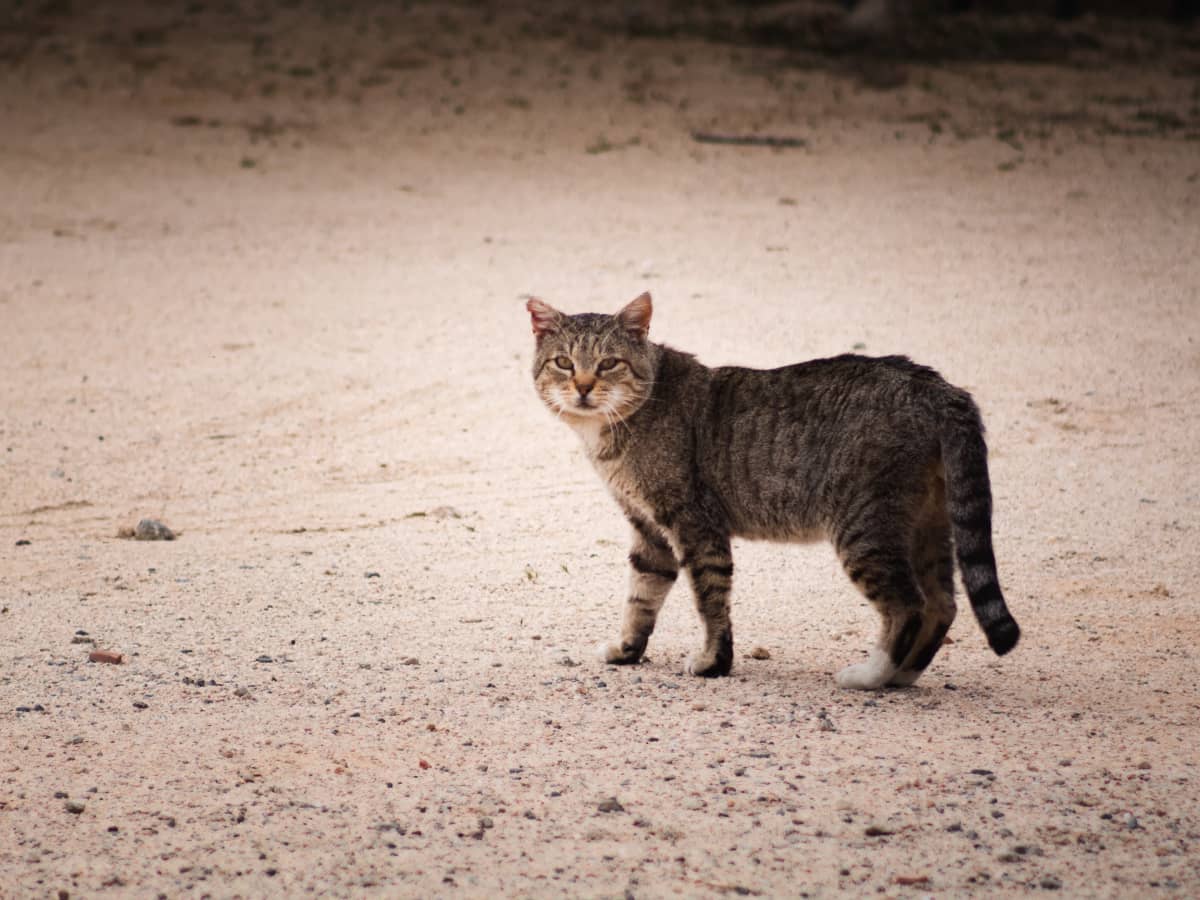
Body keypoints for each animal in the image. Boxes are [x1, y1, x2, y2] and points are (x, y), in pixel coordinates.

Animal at [528, 294, 1022, 691]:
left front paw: (713, 663)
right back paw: (902, 675)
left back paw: (872, 675)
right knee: (943, 605)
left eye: (608, 363)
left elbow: (710, 600)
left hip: (865, 529)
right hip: (927, 525)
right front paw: (628, 651)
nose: (583, 387)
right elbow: (641, 597)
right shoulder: (649, 530)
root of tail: (939, 388)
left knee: (910, 606)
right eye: (564, 363)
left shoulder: (695, 525)